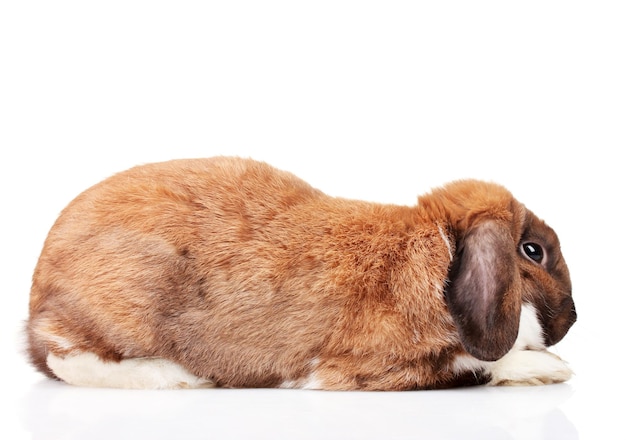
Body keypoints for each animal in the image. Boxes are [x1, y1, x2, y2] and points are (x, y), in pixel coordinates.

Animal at [25, 156, 576, 390]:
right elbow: (476, 367)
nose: (572, 319)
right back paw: (180, 379)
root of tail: (37, 294)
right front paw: (551, 370)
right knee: (66, 359)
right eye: (532, 250)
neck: (437, 253)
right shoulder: (371, 367)